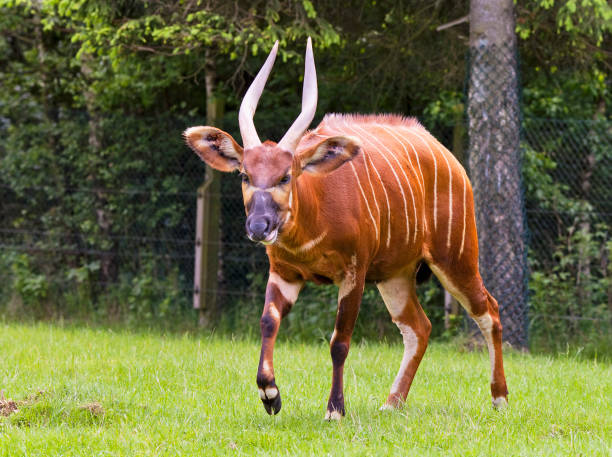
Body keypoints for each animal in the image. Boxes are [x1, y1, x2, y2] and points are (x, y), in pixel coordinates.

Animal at [184, 38, 510, 416]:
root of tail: (451, 160)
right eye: (245, 175)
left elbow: (340, 341)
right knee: (419, 327)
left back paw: (500, 398)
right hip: (395, 276)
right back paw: (392, 403)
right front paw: (270, 394)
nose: (258, 226)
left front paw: (335, 409)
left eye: (286, 175)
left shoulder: (354, 273)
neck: (310, 229)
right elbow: (268, 321)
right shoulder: (284, 272)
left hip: (455, 260)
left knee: (489, 310)